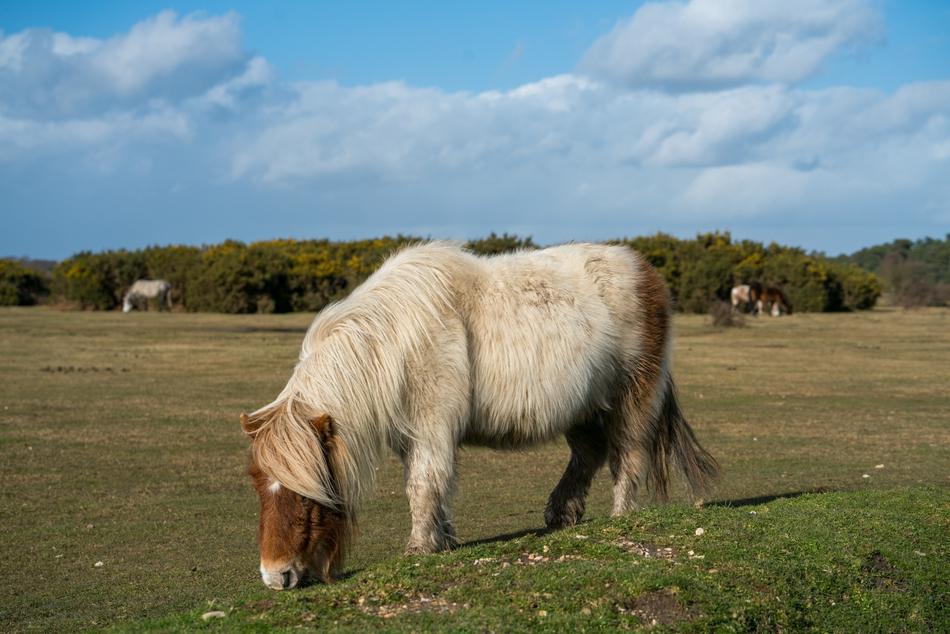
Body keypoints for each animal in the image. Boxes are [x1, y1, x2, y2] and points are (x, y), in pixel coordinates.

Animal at [240, 242, 719, 590]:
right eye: (260, 487)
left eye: (307, 495)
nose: (275, 576)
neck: (393, 341)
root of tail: (646, 272)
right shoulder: (413, 435)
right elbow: (431, 484)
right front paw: (444, 539)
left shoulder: (432, 427)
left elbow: (423, 484)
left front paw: (418, 549)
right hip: (584, 406)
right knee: (590, 453)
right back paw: (560, 513)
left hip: (632, 395)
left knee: (628, 455)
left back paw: (620, 517)